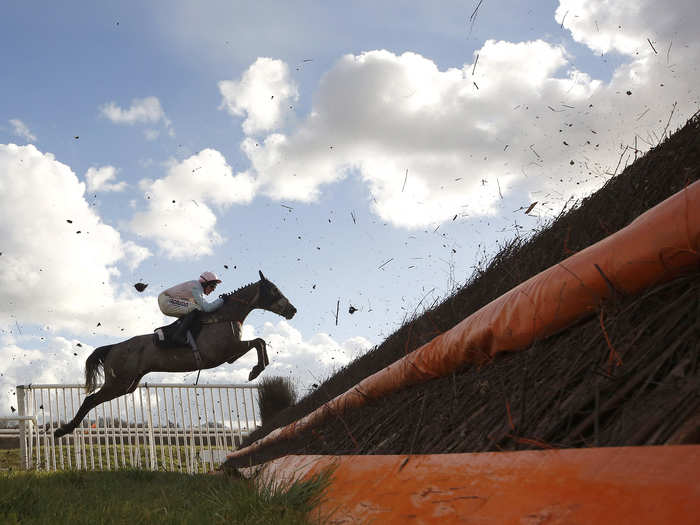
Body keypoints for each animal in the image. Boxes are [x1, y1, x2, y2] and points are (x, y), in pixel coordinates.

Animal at [54, 270, 296, 438]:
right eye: (274, 290)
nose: (293, 310)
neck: (223, 316)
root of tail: (113, 347)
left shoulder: (230, 354)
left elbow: (260, 342)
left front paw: (259, 368)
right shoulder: (225, 353)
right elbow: (258, 342)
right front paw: (255, 370)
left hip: (127, 385)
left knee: (94, 400)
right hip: (118, 382)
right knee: (90, 400)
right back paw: (63, 430)